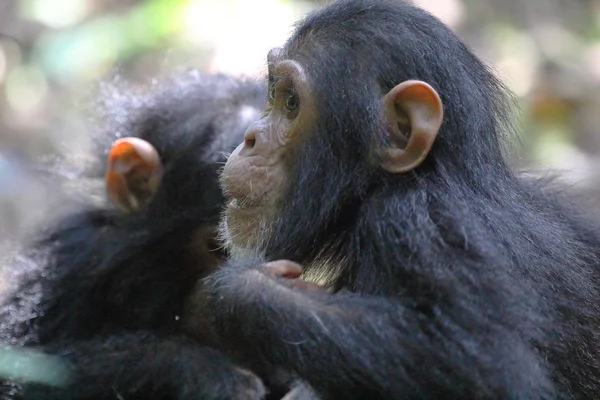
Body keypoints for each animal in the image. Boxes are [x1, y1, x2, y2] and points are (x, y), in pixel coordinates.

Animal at [204, 0, 600, 400]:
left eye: (291, 102)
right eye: (273, 94)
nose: (251, 137)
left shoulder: (419, 221)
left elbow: (489, 364)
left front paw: (248, 287)